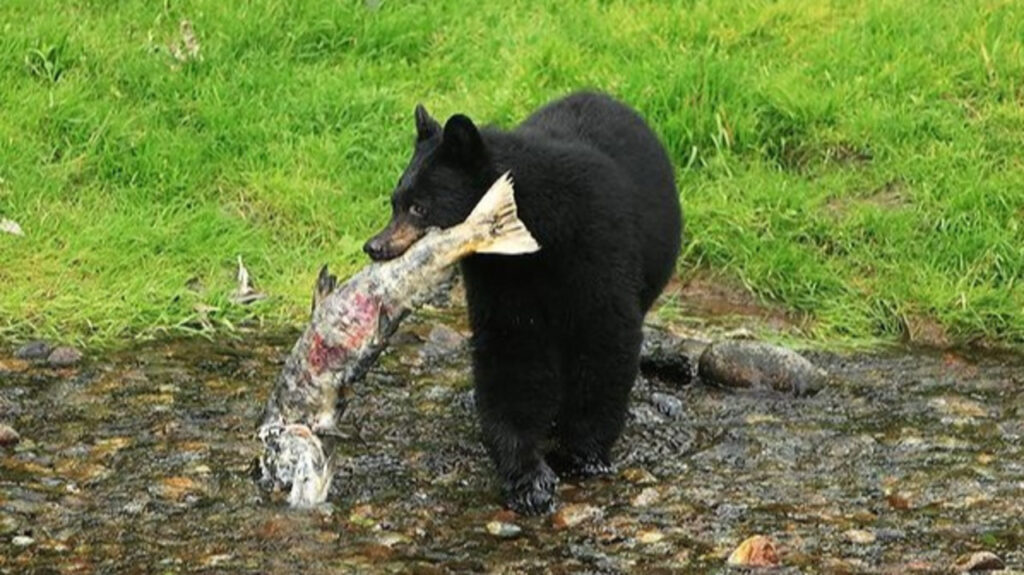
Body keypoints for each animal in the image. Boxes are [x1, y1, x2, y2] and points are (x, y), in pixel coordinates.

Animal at [363, 91, 683, 514]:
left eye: (419, 207)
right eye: (394, 202)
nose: (374, 246)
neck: (538, 236)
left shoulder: (597, 250)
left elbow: (606, 340)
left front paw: (583, 453)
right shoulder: (502, 280)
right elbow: (511, 357)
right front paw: (528, 478)